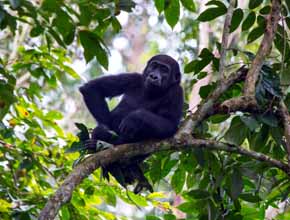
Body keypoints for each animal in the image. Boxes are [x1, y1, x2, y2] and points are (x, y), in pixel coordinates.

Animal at [79, 54, 184, 192]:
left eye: (164, 70)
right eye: (154, 66)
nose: (154, 76)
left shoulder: (177, 92)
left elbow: (170, 125)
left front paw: (135, 117)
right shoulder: (132, 78)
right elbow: (92, 89)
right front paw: (105, 133)